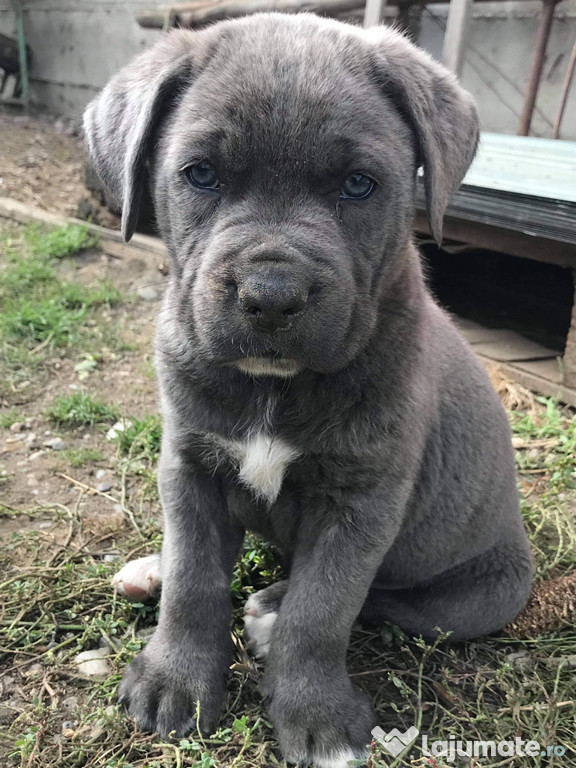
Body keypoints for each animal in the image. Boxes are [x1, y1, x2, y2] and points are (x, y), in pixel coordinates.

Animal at [83, 13, 532, 768]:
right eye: (200, 175)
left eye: (358, 184)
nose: (270, 295)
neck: (275, 388)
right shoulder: (188, 464)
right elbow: (195, 579)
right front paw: (175, 678)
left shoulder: (363, 501)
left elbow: (325, 608)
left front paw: (315, 717)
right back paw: (154, 569)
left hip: (480, 595)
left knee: (390, 600)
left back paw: (269, 608)